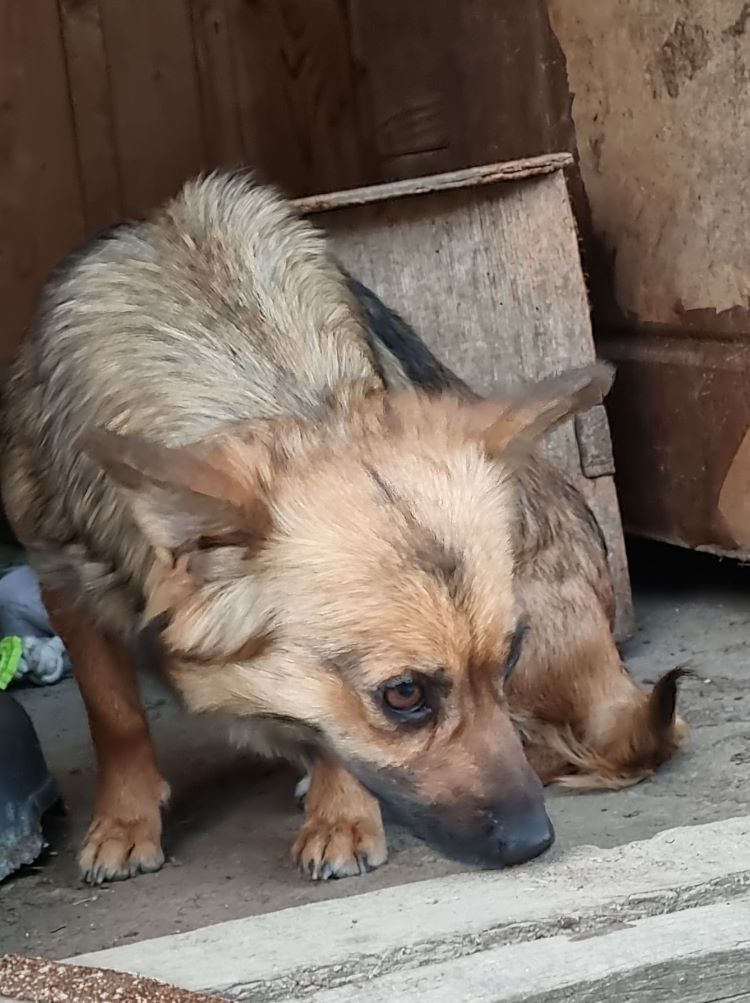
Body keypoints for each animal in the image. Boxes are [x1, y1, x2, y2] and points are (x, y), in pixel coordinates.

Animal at [0, 172, 681, 886]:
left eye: (510, 656)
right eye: (404, 694)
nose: (535, 842)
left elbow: (328, 732)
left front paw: (341, 816)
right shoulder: (62, 579)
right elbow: (114, 716)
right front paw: (125, 820)